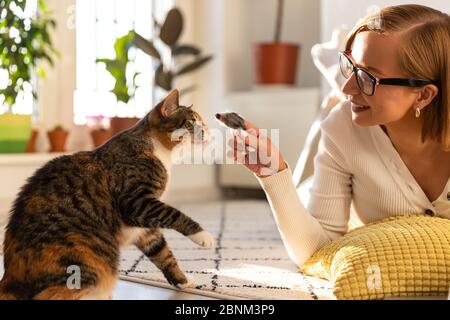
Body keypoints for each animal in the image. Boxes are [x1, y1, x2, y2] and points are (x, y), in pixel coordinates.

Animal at [0, 89, 215, 298]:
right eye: (191, 122)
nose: (207, 131)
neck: (158, 152)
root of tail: (10, 278)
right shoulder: (138, 203)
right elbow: (175, 214)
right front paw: (203, 235)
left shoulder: (144, 227)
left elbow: (163, 253)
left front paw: (182, 280)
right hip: (86, 263)